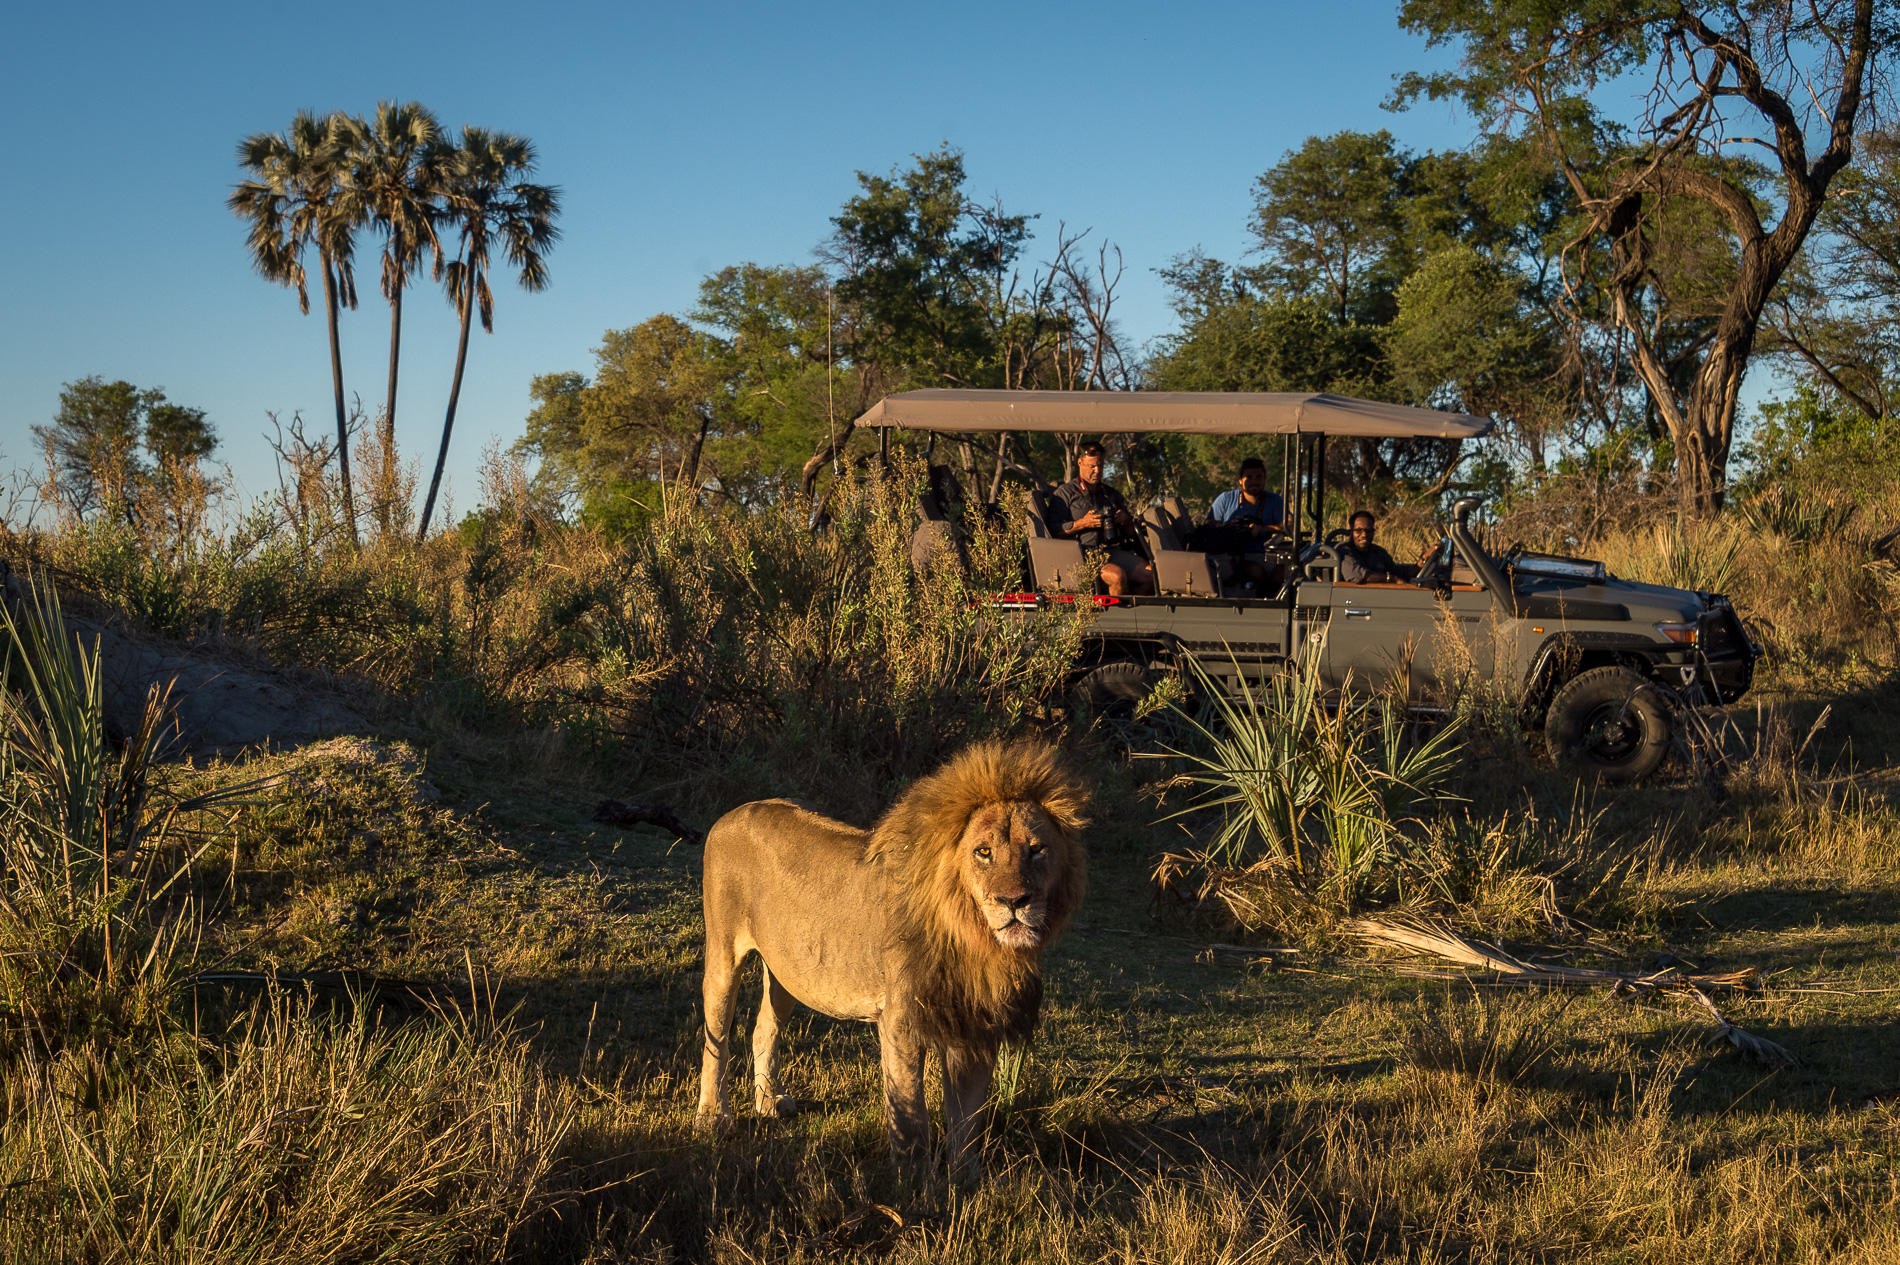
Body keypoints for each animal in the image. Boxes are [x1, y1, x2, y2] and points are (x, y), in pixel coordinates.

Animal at [695, 739, 1088, 1179]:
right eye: (983, 852)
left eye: (1037, 850)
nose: (1015, 901)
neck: (975, 939)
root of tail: (731, 813)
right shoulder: (901, 1020)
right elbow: (910, 1112)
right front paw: (913, 1179)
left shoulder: (973, 1024)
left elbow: (968, 1118)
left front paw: (966, 1178)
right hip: (723, 955)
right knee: (715, 1037)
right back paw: (713, 1117)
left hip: (788, 971)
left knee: (763, 1027)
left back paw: (768, 1103)